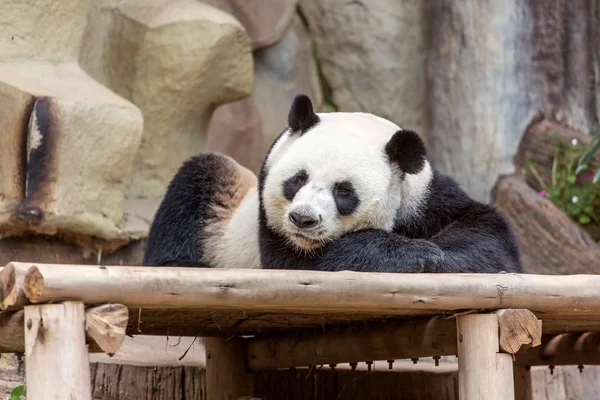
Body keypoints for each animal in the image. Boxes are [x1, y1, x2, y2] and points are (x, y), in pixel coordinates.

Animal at [143, 95, 524, 274]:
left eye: (343, 191)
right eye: (297, 179)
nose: (303, 220)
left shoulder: (425, 195)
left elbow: (488, 234)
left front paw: (437, 253)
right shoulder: (268, 219)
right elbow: (297, 263)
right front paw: (414, 252)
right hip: (228, 211)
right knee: (198, 178)